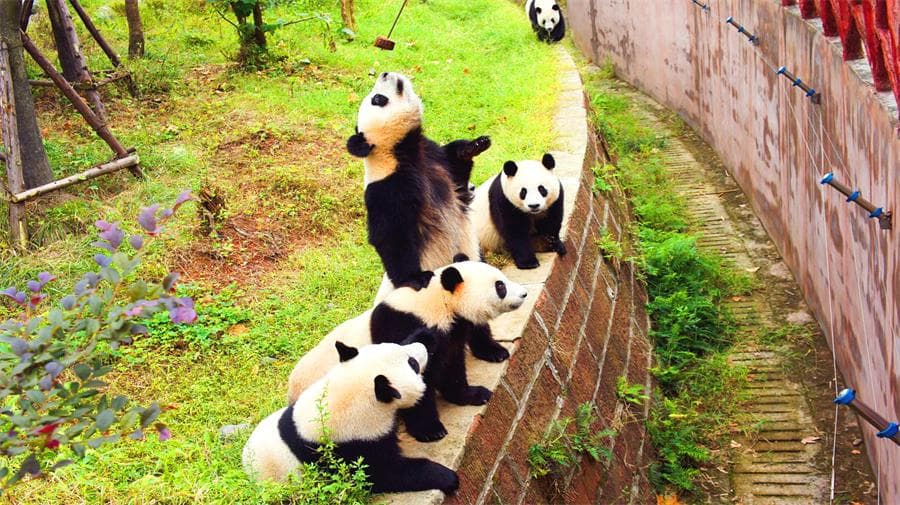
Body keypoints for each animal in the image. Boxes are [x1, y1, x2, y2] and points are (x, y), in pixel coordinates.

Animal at [287, 260, 528, 442]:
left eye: (502, 279)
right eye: (500, 286)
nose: (524, 294)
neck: (439, 303)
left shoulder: (448, 334)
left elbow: (451, 367)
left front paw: (473, 394)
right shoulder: (405, 329)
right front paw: (430, 430)